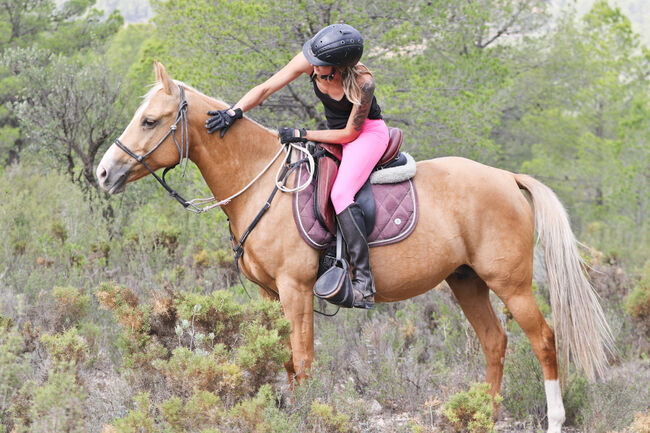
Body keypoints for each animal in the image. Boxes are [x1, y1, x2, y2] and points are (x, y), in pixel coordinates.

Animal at [95, 61, 608, 432]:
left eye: (150, 120)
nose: (103, 173)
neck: (260, 181)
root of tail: (506, 177)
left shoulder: (296, 288)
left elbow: (303, 358)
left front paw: (307, 415)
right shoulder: (269, 293)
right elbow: (283, 357)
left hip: (510, 282)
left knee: (544, 340)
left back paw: (554, 420)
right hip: (466, 281)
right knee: (495, 341)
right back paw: (485, 414)